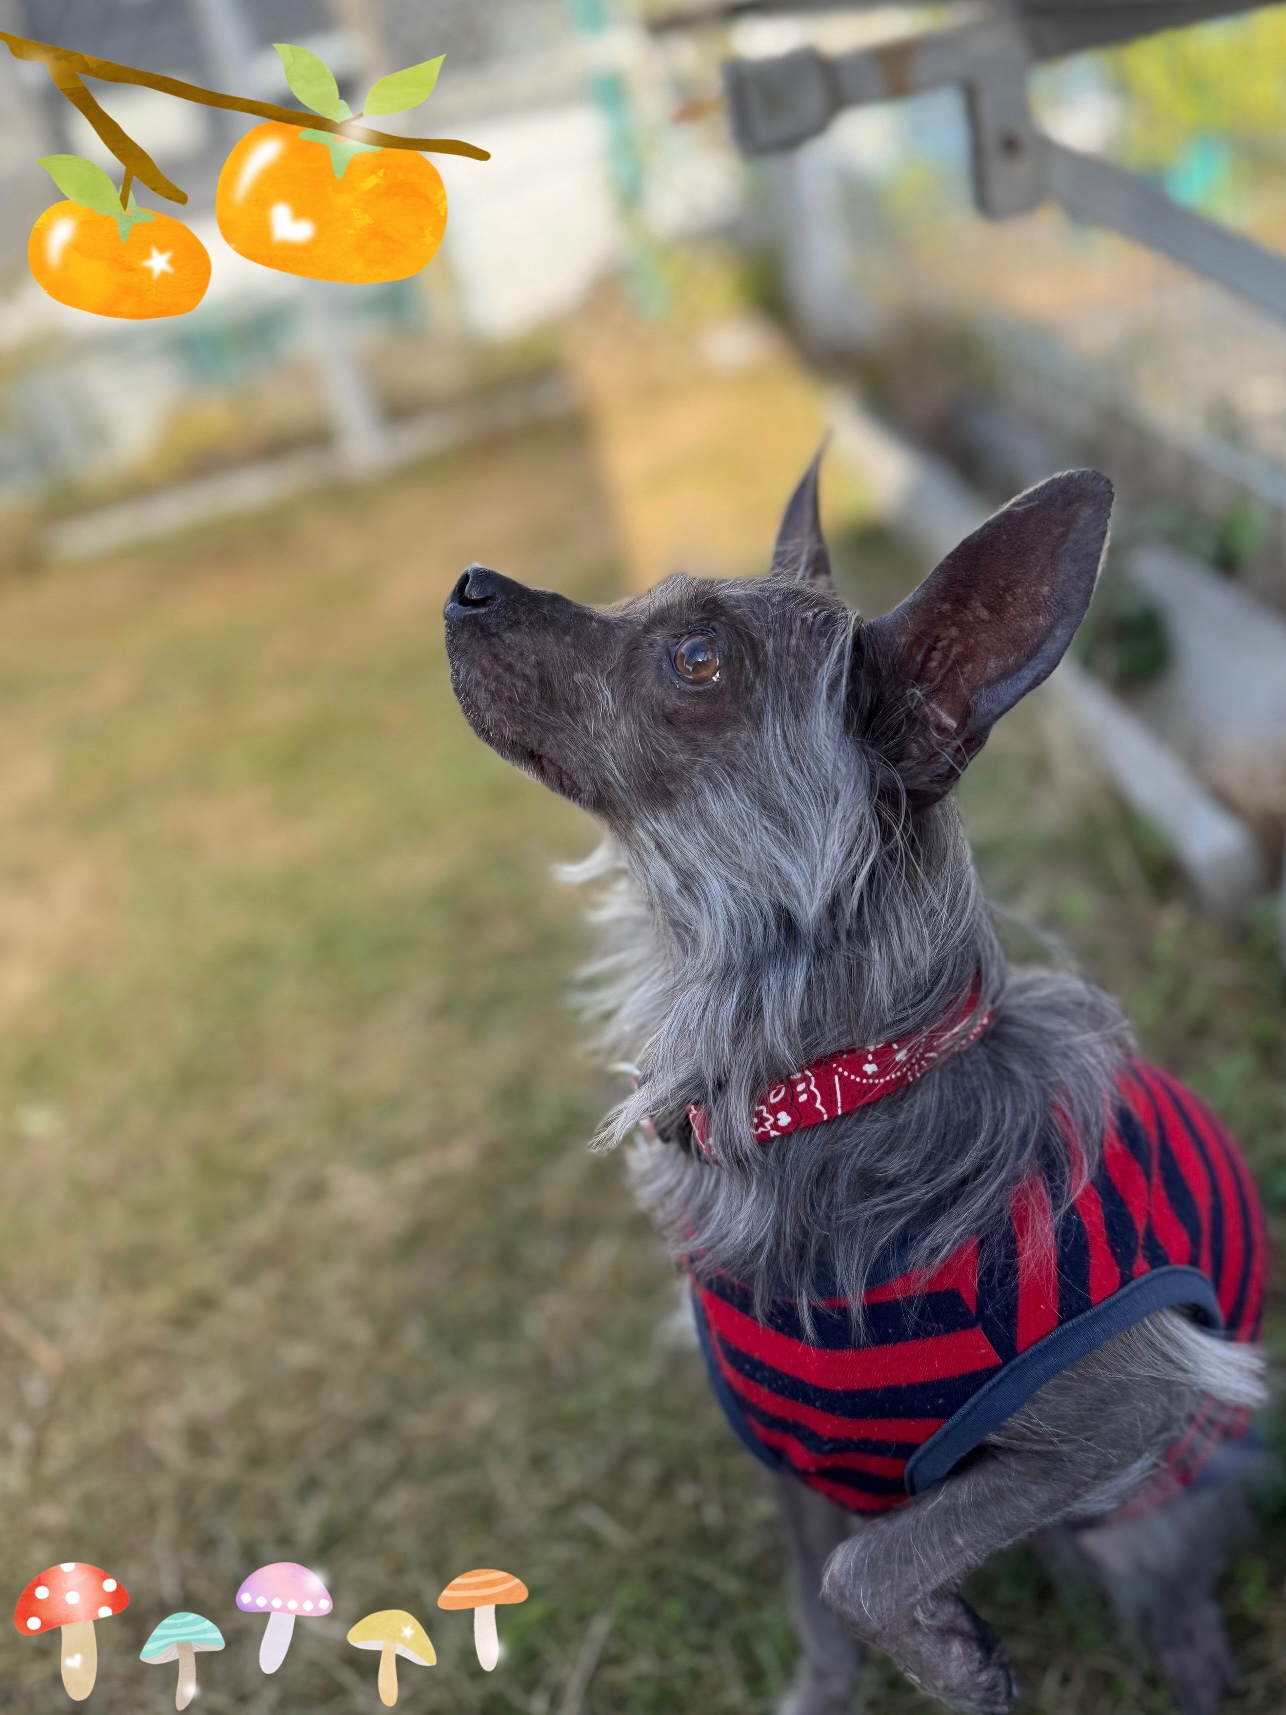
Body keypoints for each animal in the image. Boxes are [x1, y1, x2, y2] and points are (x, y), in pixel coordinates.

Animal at [444, 451, 1269, 1715]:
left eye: (696, 656)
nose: (468, 583)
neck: (823, 1095)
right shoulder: (787, 1458)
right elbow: (815, 1594)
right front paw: (837, 1683)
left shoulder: (1130, 1403)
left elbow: (863, 1566)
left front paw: (947, 1657)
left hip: (1147, 1504)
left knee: (1169, 1565)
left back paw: (1187, 1654)